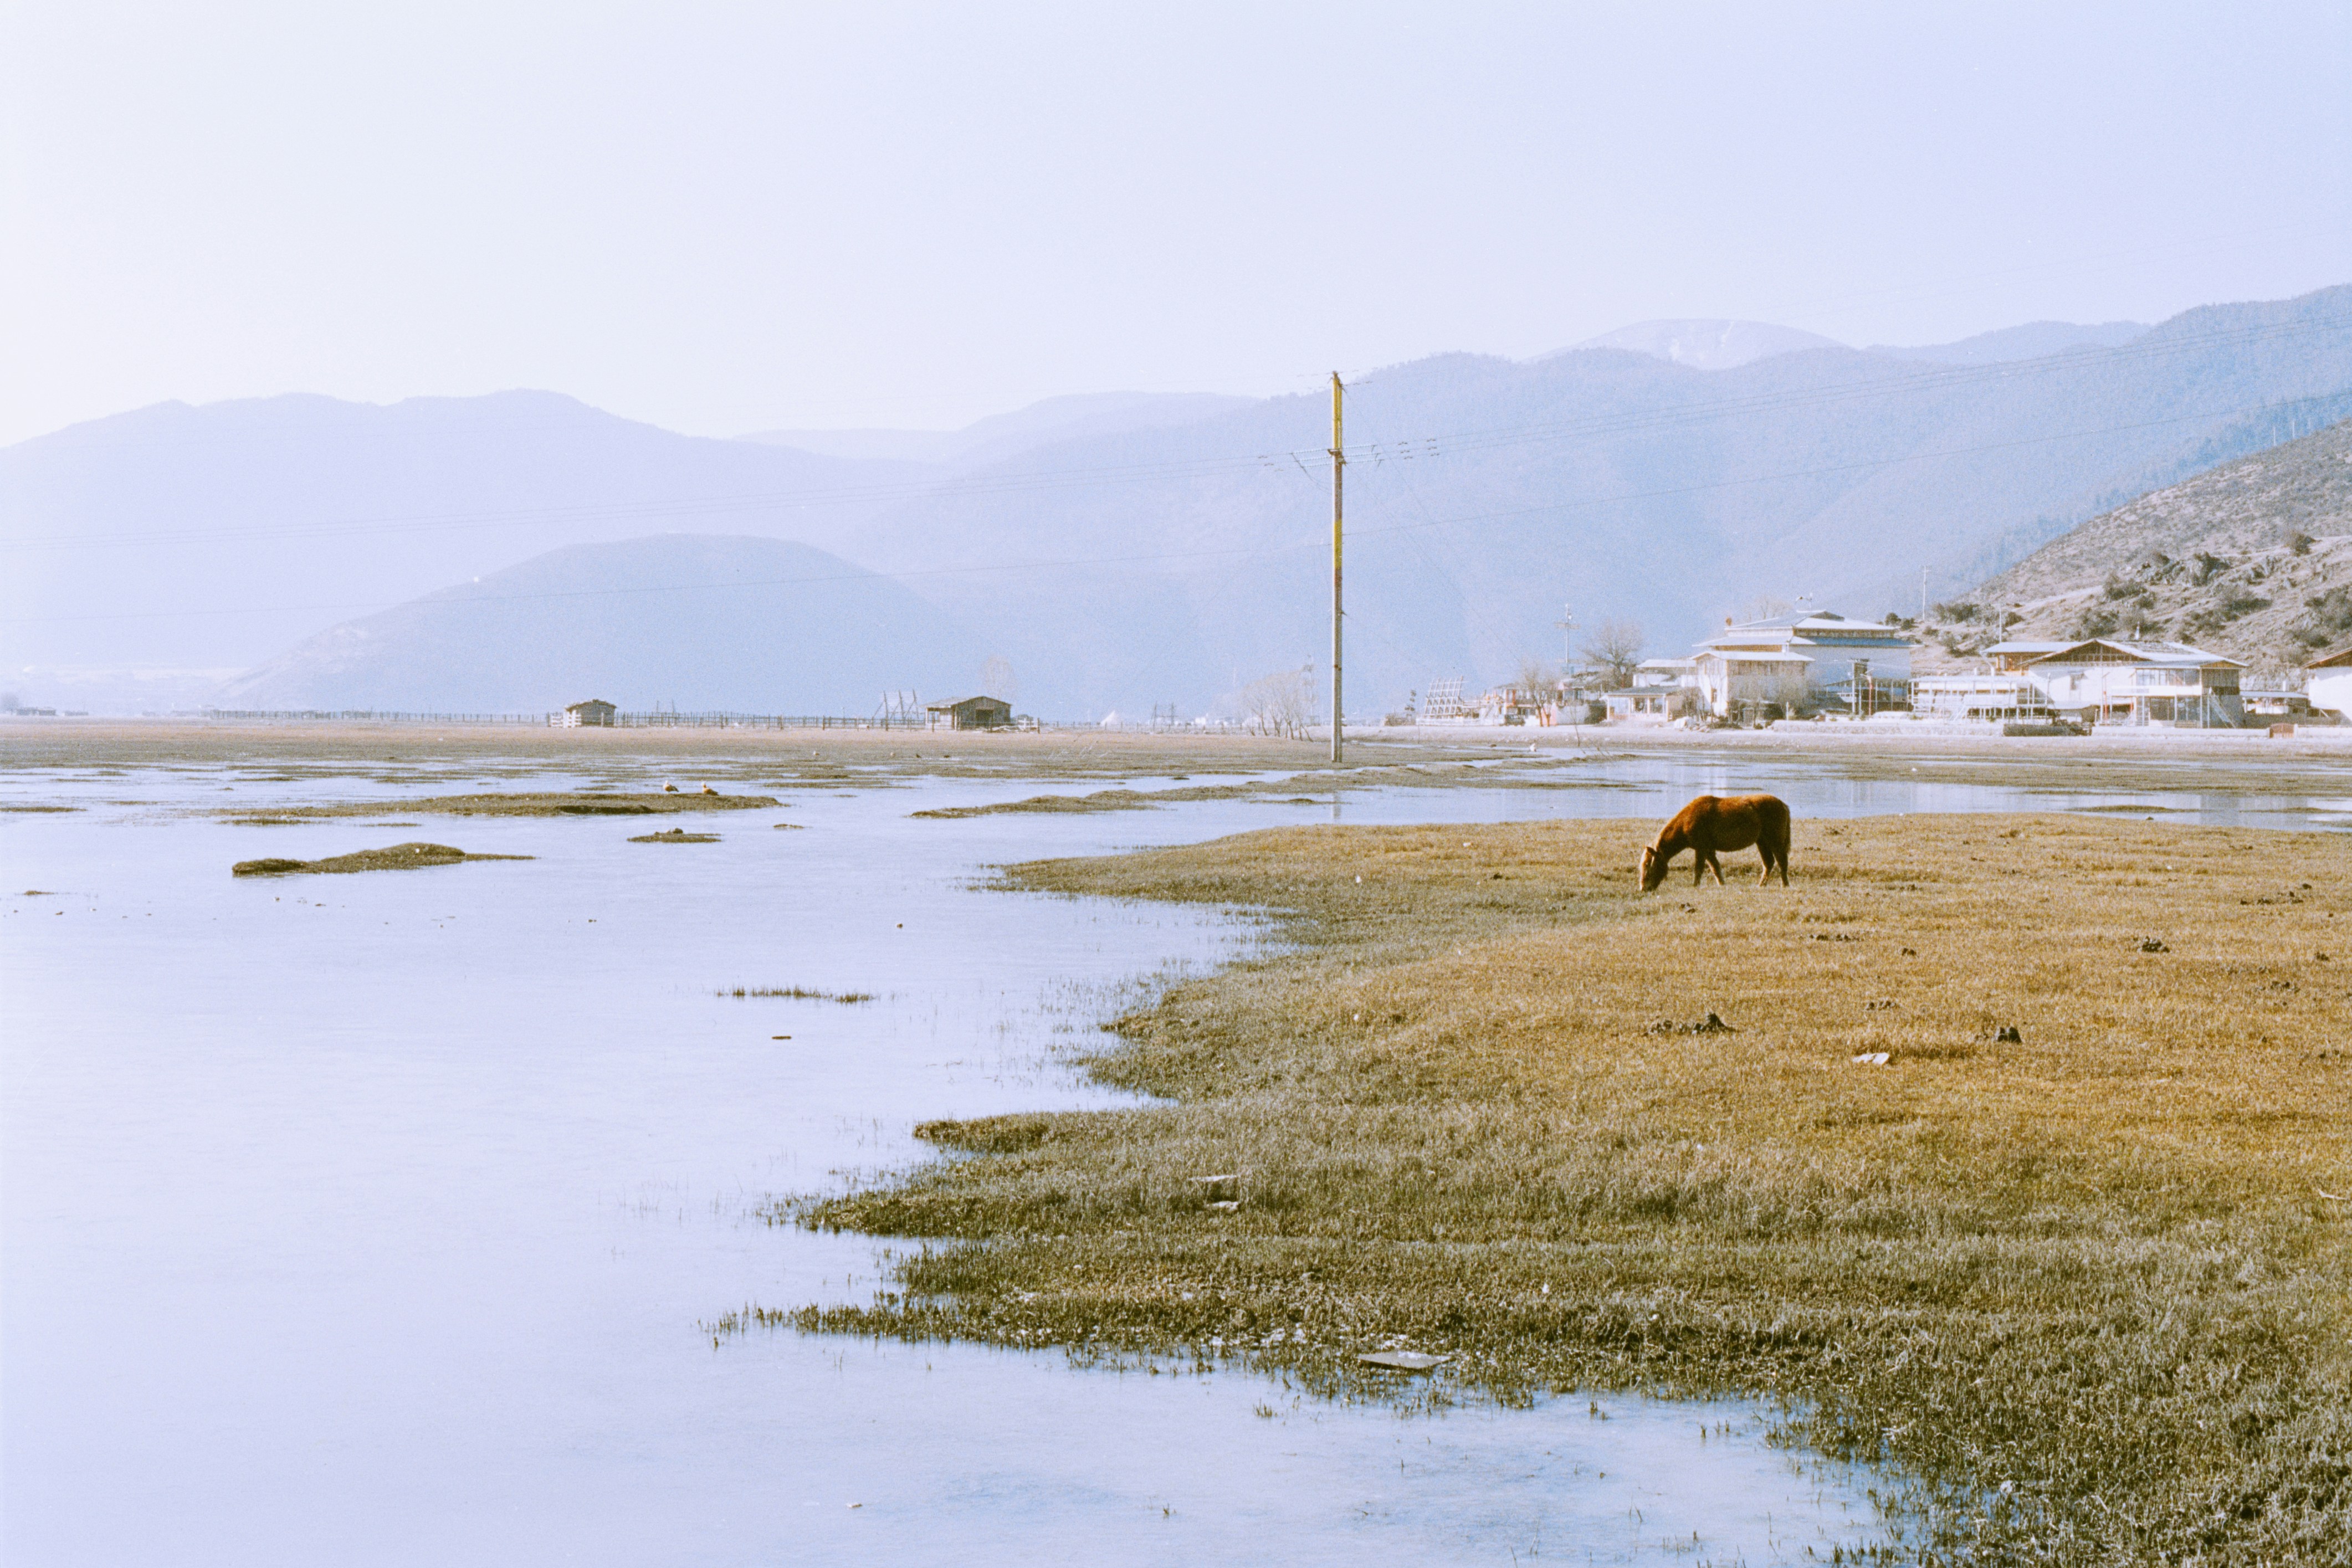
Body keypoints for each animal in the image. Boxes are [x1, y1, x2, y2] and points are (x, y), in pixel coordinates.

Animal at [1639, 793, 1791, 890]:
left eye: (1648, 865)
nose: (1643, 888)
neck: (1687, 821)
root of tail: (1783, 804)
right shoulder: (1709, 850)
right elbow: (1715, 868)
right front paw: (1722, 884)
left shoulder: (1701, 848)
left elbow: (1699, 868)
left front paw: (1695, 886)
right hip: (1762, 842)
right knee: (1769, 863)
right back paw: (1761, 885)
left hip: (1775, 841)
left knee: (1781, 861)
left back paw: (1785, 885)